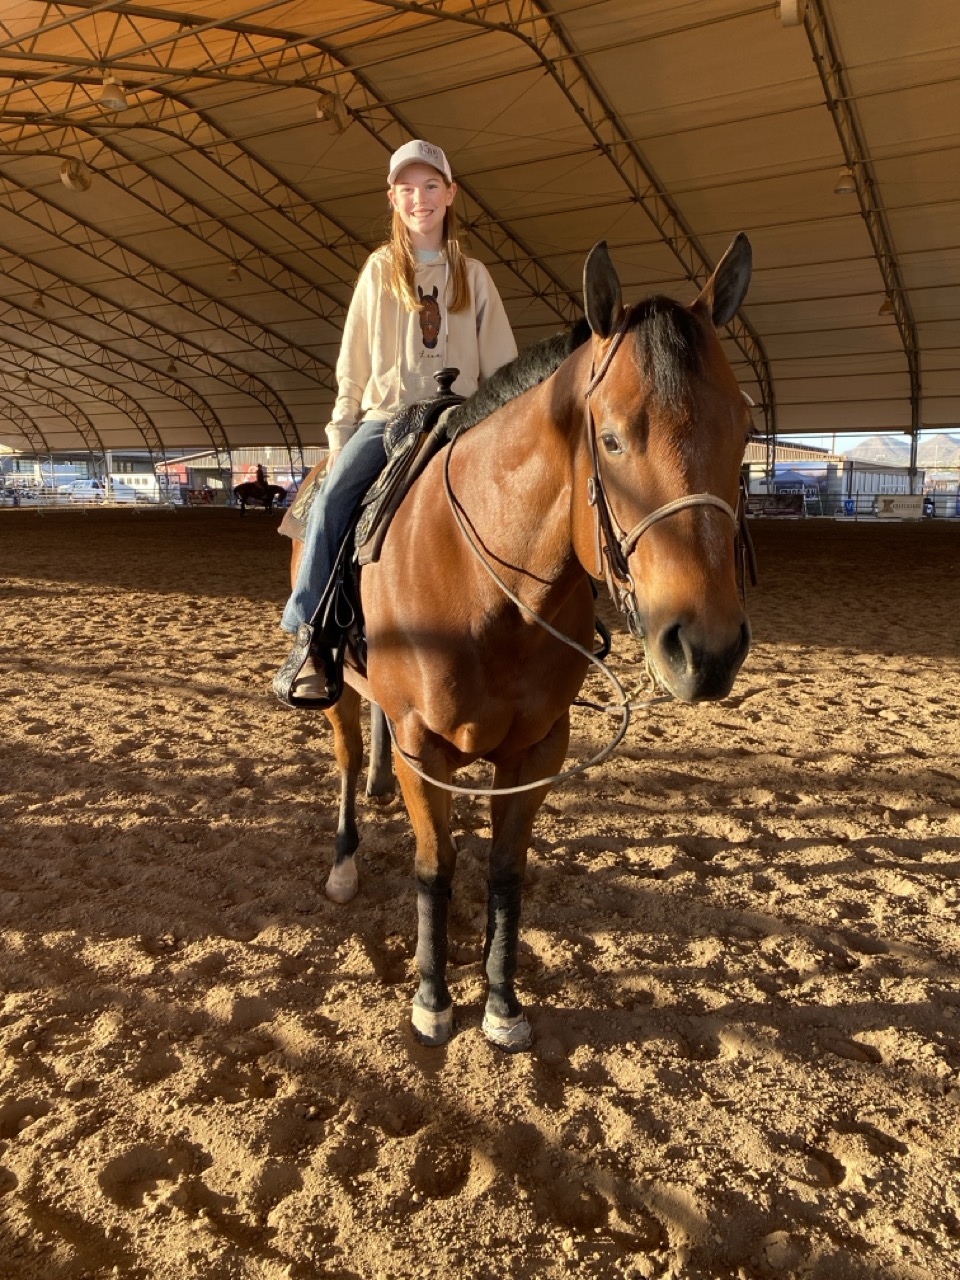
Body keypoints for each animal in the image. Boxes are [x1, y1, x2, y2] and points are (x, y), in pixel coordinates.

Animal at [298, 234, 754, 1051]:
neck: (485, 586)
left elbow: (507, 872)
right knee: (347, 758)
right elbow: (436, 865)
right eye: (612, 437)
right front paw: (433, 1000)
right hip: (337, 688)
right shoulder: (425, 745)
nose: (707, 649)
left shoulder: (538, 748)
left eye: (744, 428)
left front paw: (502, 1003)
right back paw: (346, 860)